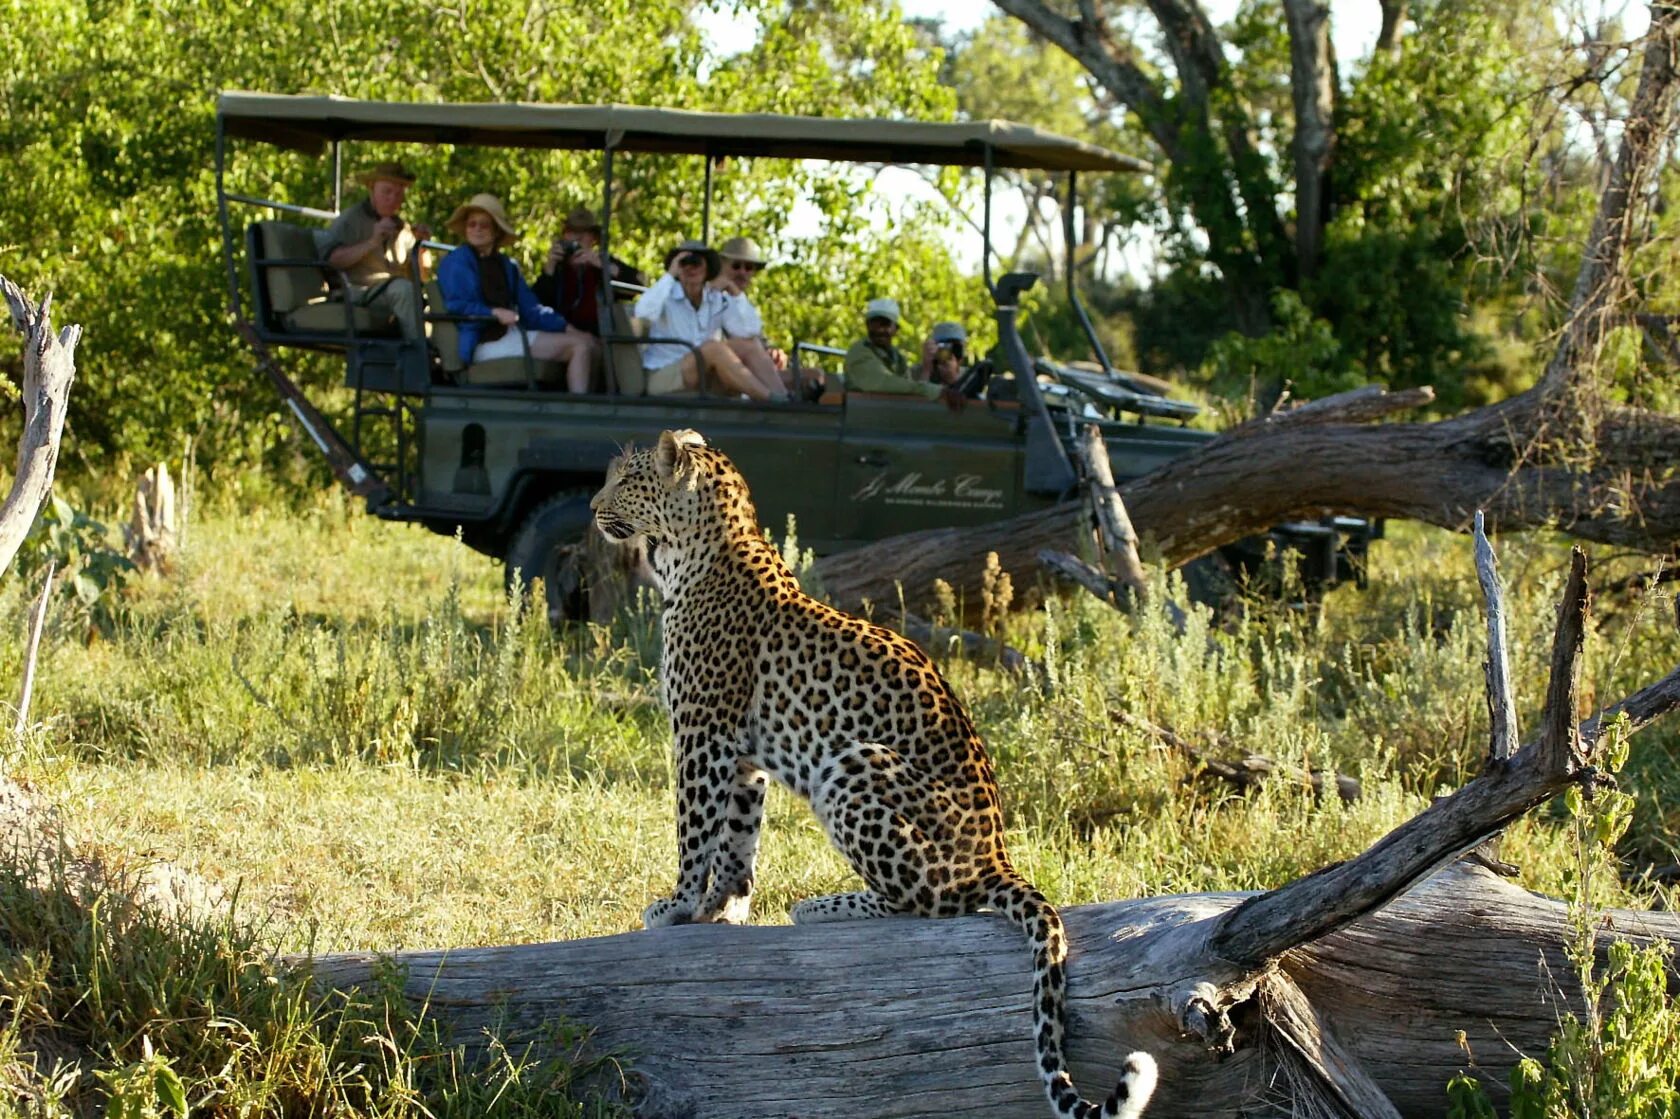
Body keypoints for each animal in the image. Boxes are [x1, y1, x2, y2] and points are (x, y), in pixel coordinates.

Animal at [591, 426, 1155, 1115]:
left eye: (626, 479)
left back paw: (822, 907)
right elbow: (737, 839)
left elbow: (694, 829)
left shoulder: (703, 732)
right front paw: (722, 908)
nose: (592, 506)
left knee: (933, 903)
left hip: (852, 764)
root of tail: (997, 856)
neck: (693, 551)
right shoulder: (744, 755)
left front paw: (675, 906)